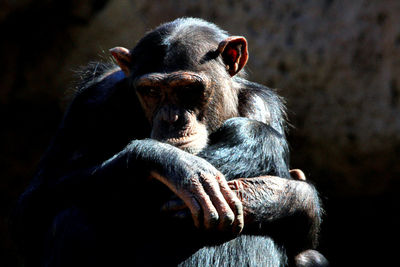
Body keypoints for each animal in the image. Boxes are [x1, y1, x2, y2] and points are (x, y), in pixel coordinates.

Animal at [13, 17, 328, 266]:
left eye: (188, 89)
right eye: (151, 91)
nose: (172, 119)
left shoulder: (263, 106)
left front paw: (259, 192)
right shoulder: (93, 100)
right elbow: (33, 206)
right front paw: (173, 164)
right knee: (71, 217)